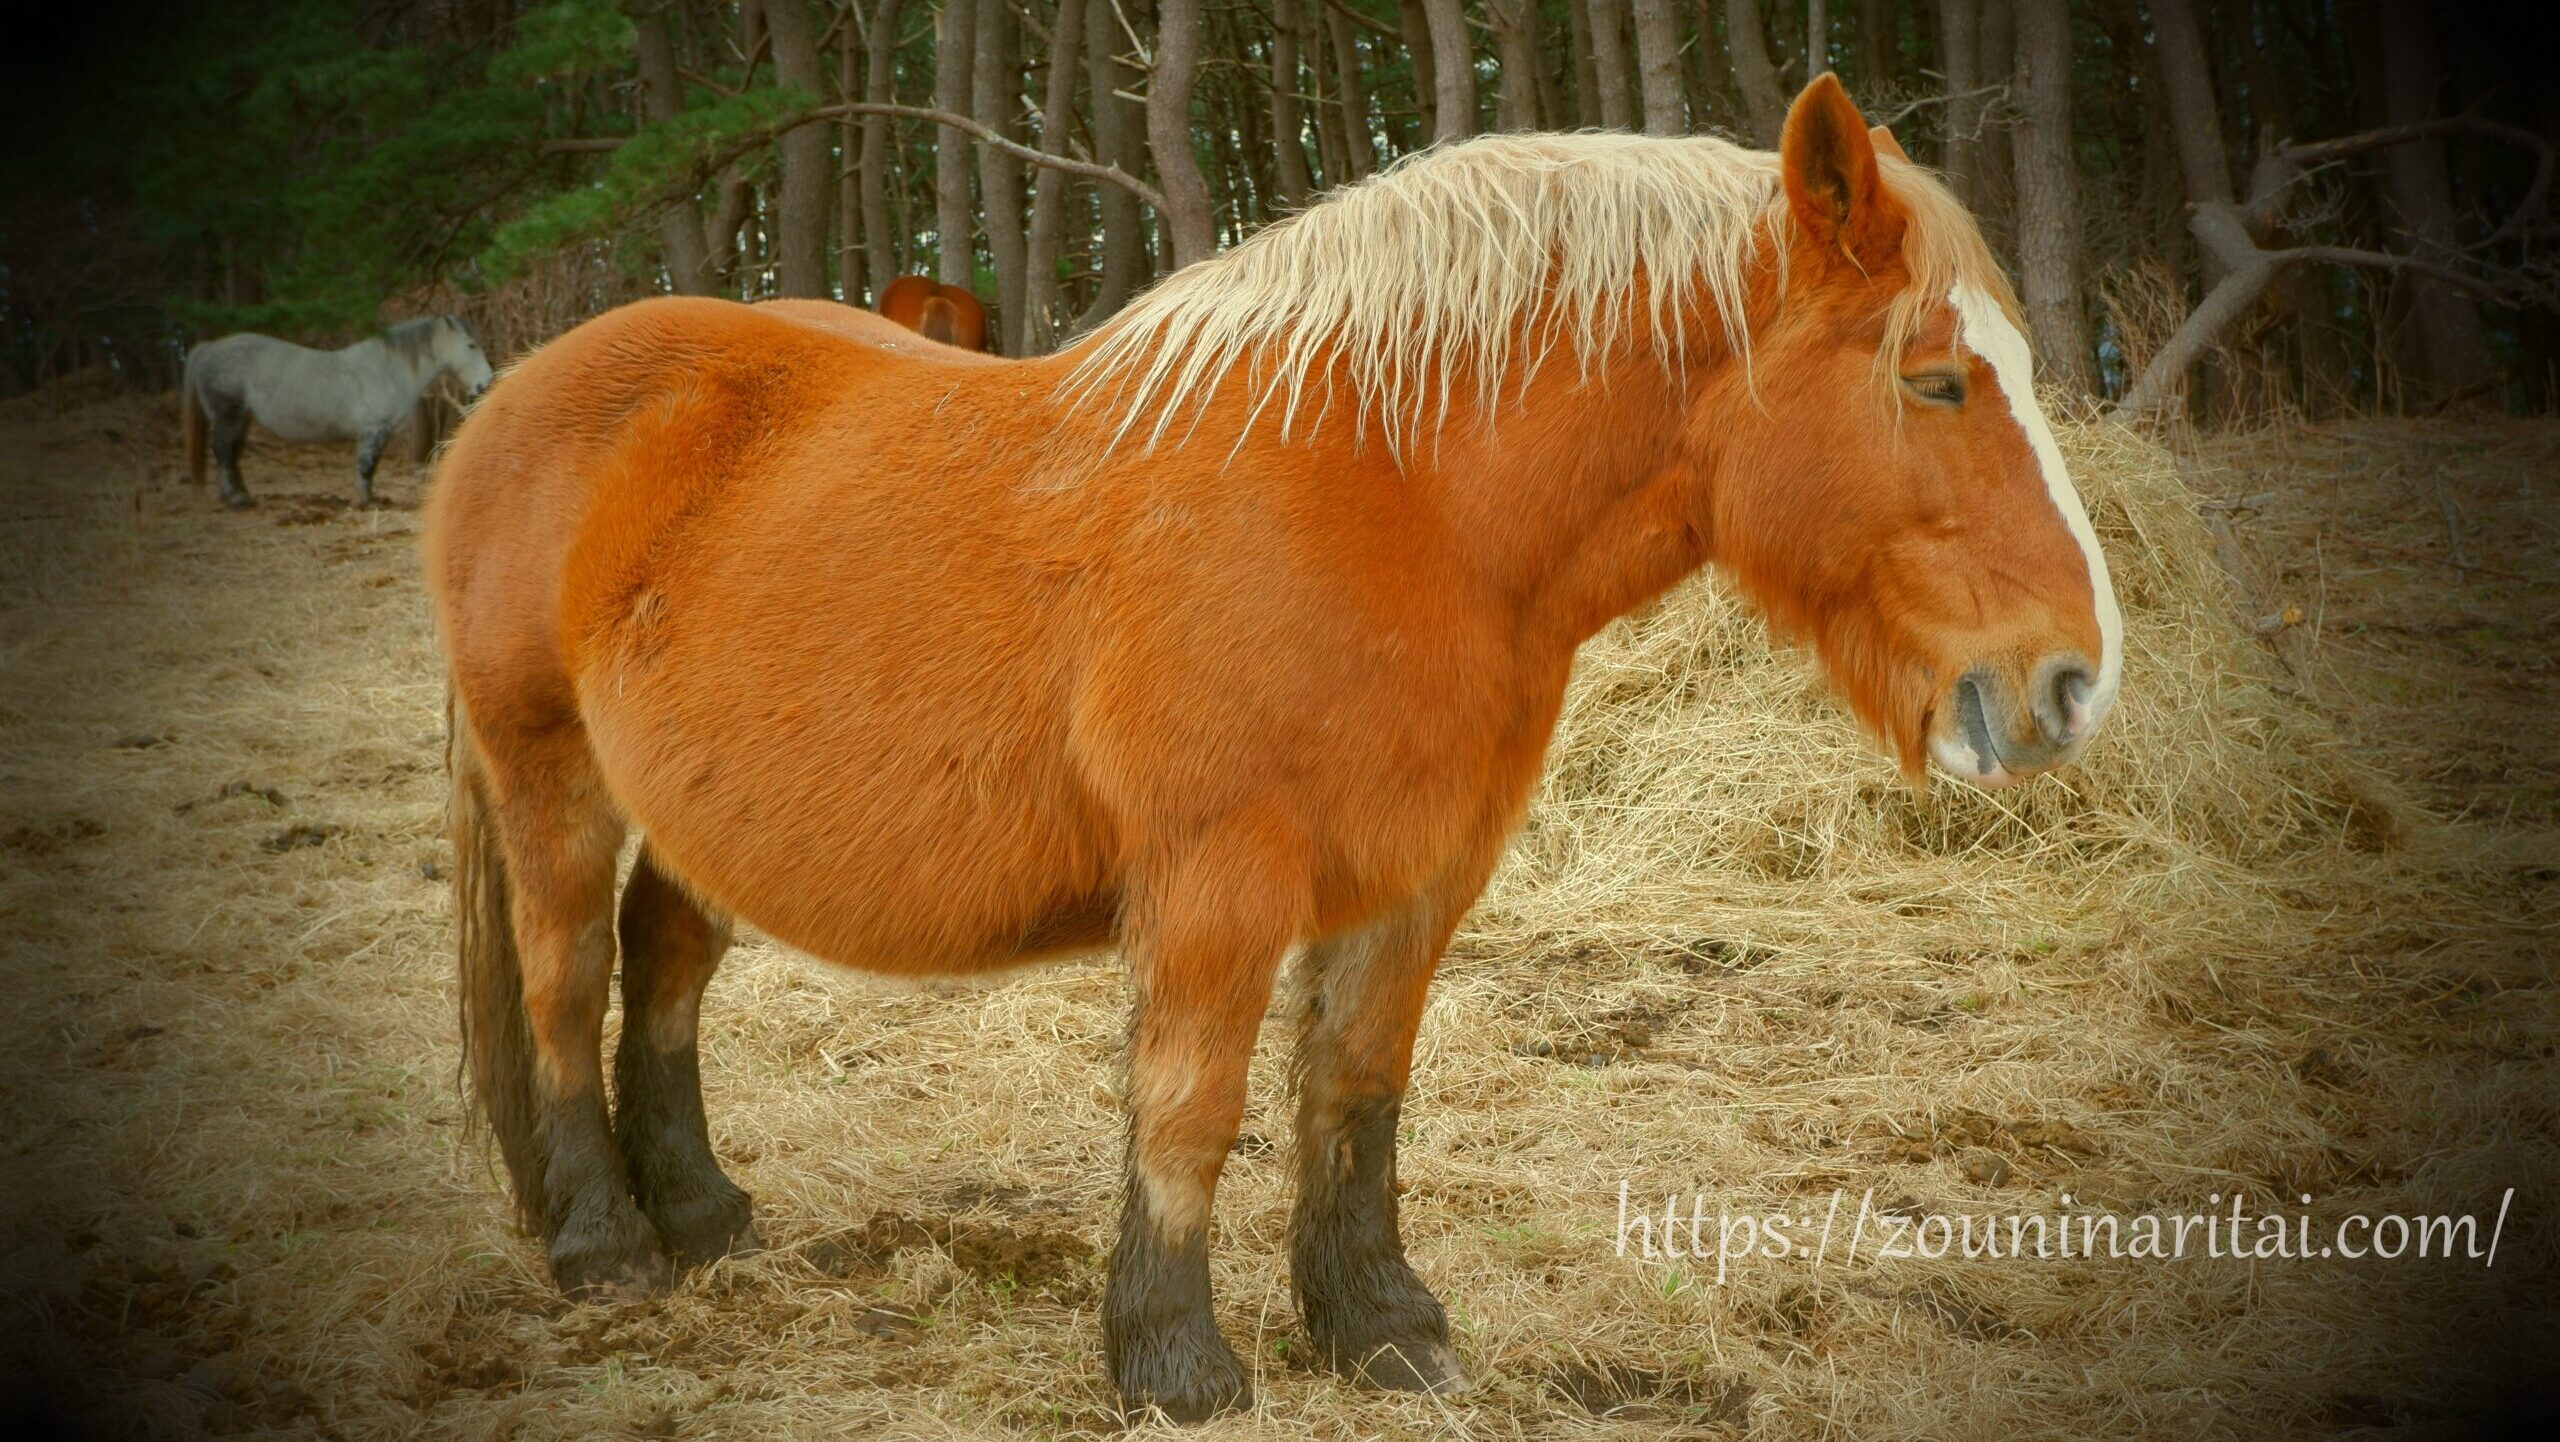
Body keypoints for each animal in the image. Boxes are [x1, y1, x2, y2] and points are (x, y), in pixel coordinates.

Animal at [180, 316, 494, 507]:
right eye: (471, 345)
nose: (485, 383)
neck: (387, 369)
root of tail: (209, 348)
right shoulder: (373, 430)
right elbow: (366, 465)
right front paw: (364, 501)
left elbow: (370, 466)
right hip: (227, 415)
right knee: (223, 452)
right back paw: (233, 499)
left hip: (242, 418)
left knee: (233, 454)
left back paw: (243, 495)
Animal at [430, 79, 2129, 1424]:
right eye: (1934, 378)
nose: (2070, 681)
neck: (1396, 498)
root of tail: (515, 399)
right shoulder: (1215, 882)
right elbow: (1190, 1106)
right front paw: (1171, 1359)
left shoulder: (1421, 876)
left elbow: (1355, 1091)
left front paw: (1379, 1328)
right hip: (550, 776)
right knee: (566, 974)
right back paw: (603, 1245)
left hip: (701, 814)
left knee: (664, 969)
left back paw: (699, 1210)